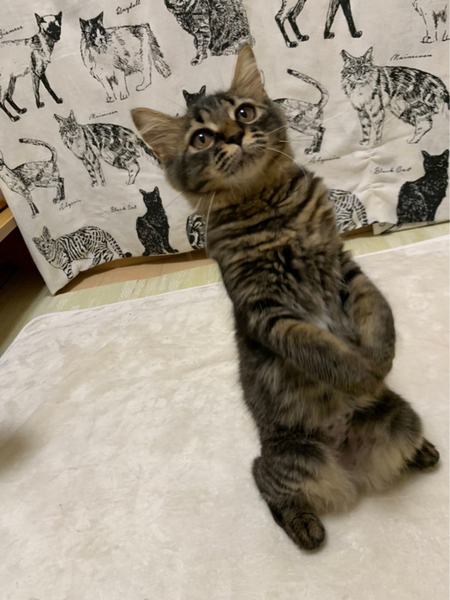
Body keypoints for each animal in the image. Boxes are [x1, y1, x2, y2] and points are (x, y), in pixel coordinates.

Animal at [132, 46, 439, 552]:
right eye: (201, 138)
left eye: (244, 112)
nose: (233, 135)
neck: (269, 207)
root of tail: (351, 470)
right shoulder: (267, 309)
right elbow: (321, 349)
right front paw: (361, 373)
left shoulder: (343, 265)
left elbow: (378, 309)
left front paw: (380, 359)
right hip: (295, 457)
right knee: (268, 485)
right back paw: (306, 528)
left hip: (402, 417)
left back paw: (423, 452)